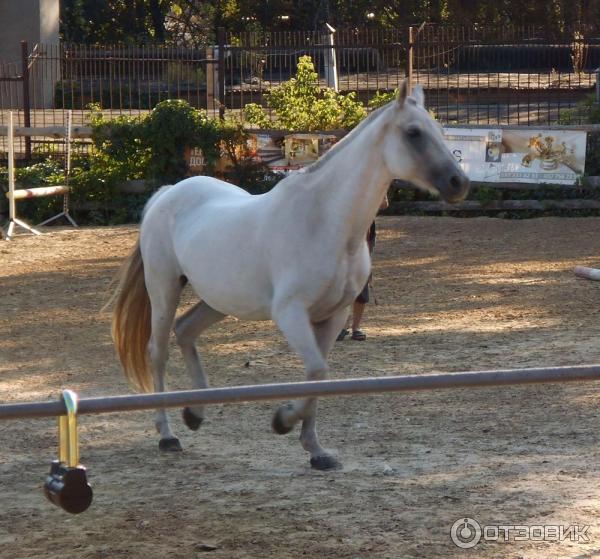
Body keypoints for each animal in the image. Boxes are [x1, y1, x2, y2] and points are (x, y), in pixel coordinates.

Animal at [110, 82, 472, 468]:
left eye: (439, 130)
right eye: (414, 132)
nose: (459, 183)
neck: (326, 222)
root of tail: (167, 194)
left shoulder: (334, 316)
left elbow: (318, 377)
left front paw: (316, 451)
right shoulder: (290, 313)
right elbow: (316, 371)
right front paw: (282, 420)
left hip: (218, 300)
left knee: (186, 330)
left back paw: (195, 413)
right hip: (163, 289)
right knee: (158, 350)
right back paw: (168, 434)